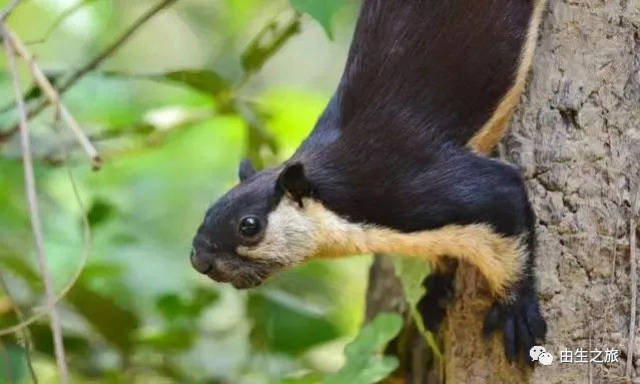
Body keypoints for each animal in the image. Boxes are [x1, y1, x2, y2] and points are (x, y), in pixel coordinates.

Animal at [191, 0, 552, 364]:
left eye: (249, 226)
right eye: (208, 212)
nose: (199, 260)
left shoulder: (417, 187)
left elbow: (503, 200)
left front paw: (515, 310)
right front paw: (434, 293)